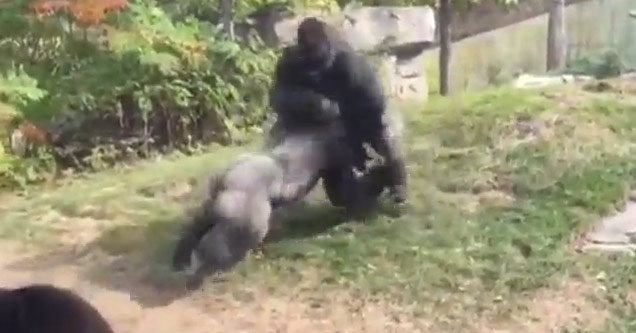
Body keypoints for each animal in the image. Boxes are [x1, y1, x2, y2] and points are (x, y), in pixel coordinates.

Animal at [171, 120, 388, 288]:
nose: (367, 156)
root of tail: (227, 175)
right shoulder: (338, 153)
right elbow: (344, 192)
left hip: (215, 195)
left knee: (200, 221)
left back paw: (182, 258)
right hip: (246, 208)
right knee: (232, 239)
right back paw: (206, 266)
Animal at [268, 18, 408, 205]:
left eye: (318, 62)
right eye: (307, 62)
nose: (313, 74)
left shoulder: (352, 65)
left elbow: (373, 111)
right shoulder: (288, 59)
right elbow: (280, 94)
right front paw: (320, 104)